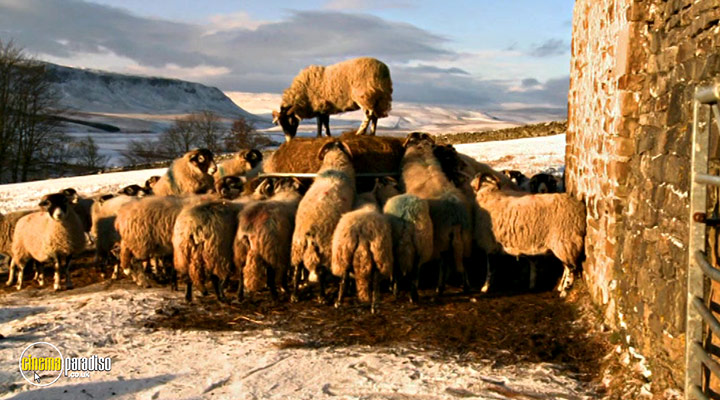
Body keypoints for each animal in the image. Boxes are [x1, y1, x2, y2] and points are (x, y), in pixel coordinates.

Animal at [290, 140, 356, 302]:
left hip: (297, 246)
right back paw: (322, 296)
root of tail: (310, 230)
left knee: (297, 269)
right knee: (321, 272)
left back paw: (294, 296)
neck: (335, 164)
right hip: (325, 247)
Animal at [331, 184, 394, 313]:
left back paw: (339, 302)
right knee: (375, 280)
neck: (366, 203)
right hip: (379, 254)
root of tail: (361, 231)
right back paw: (374, 305)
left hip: (343, 254)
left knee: (344, 279)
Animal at [400, 132, 473, 296]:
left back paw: (439, 288)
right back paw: (465, 286)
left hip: (441, 240)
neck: (421, 157)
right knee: (463, 261)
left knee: (443, 262)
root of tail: (455, 217)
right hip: (465, 238)